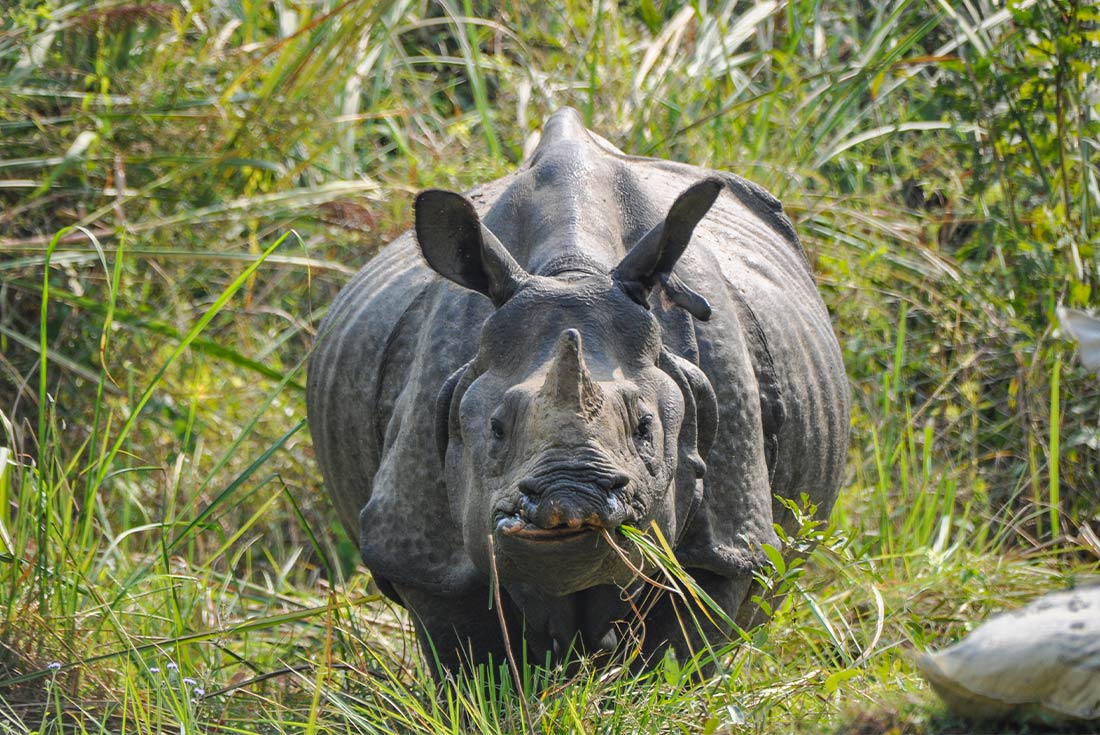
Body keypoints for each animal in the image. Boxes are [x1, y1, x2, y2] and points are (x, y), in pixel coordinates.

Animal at [307, 108, 849, 672]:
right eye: (496, 430)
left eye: (645, 427)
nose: (569, 496)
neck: (571, 271)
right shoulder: (424, 556)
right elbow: (467, 654)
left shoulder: (727, 543)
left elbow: (681, 647)